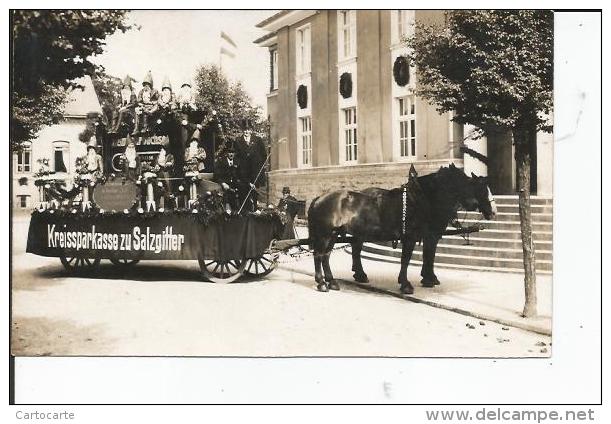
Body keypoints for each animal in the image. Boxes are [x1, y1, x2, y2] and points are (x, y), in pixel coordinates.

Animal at [308, 164, 494, 294]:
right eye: (477, 187)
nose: (492, 211)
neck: (420, 200)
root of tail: (319, 198)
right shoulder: (412, 237)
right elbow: (407, 260)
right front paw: (407, 284)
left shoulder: (428, 236)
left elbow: (428, 256)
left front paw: (428, 279)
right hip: (325, 235)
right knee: (319, 255)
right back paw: (322, 283)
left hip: (335, 234)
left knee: (327, 256)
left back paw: (334, 281)